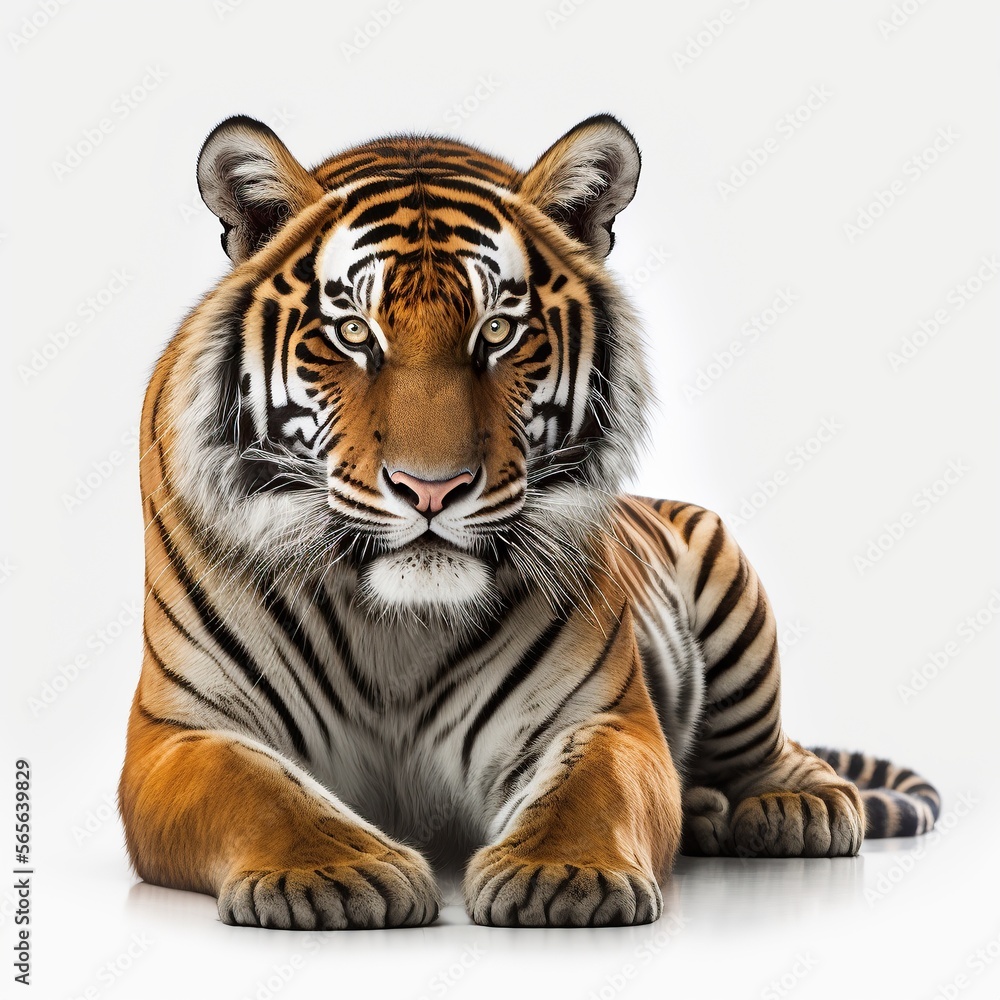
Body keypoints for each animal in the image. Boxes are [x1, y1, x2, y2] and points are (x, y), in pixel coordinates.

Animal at [118, 113, 940, 930]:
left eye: (498, 332)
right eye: (352, 333)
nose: (432, 489)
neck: (395, 628)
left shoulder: (603, 717)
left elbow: (590, 789)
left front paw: (564, 872)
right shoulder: (181, 731)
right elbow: (261, 792)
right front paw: (335, 870)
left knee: (772, 751)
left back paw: (796, 804)